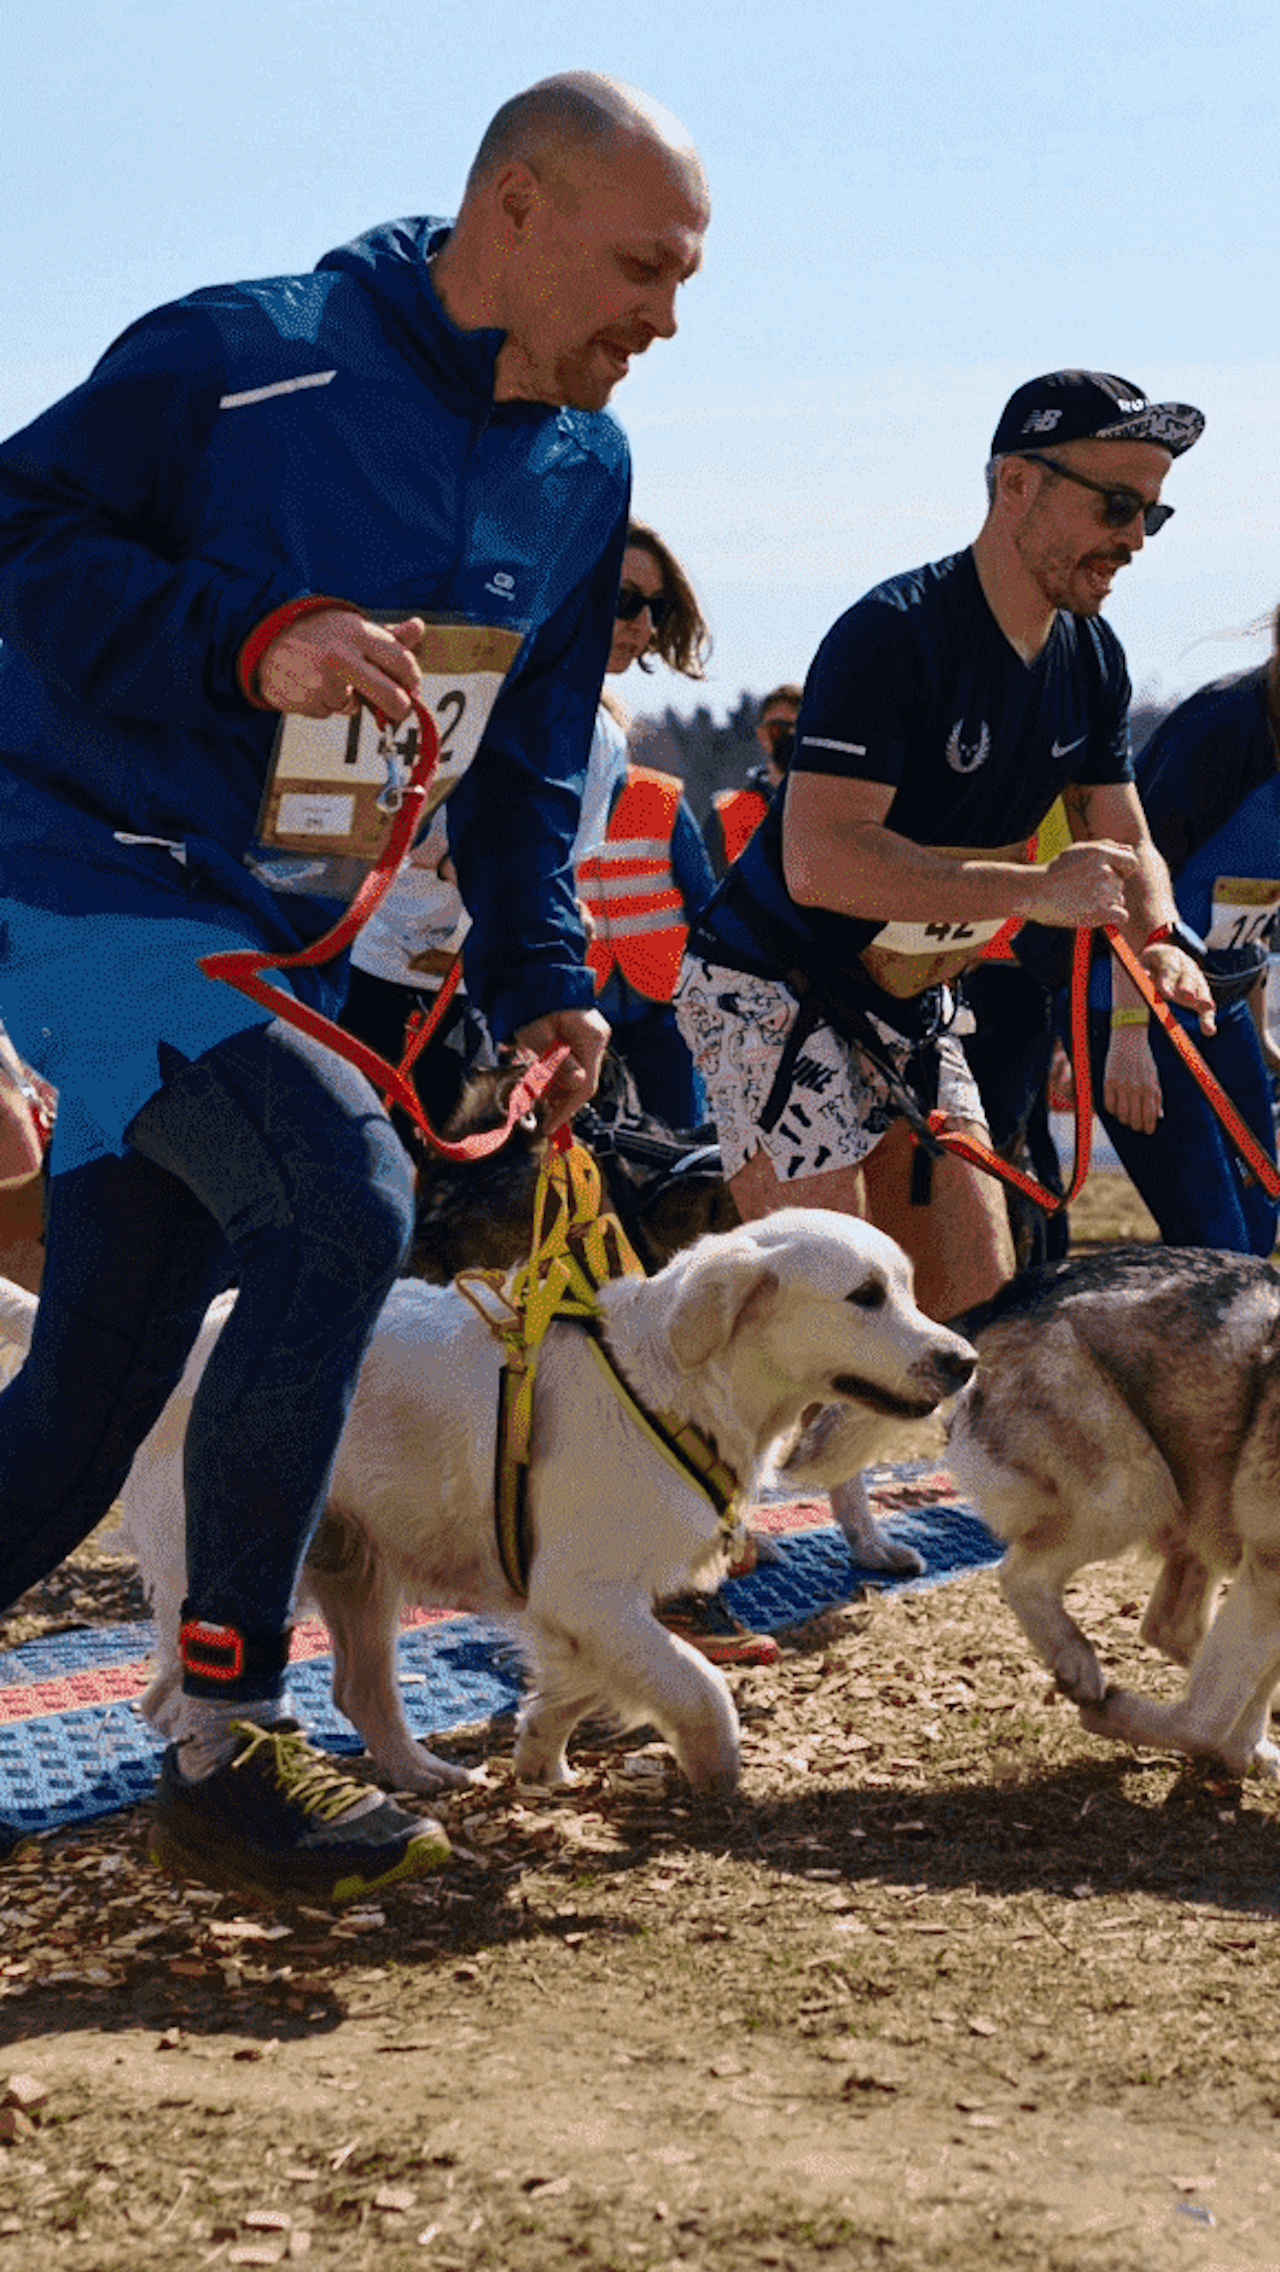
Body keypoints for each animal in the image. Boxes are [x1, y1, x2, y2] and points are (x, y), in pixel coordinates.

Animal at [0, 1217, 968, 1799]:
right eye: (864, 1297)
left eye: (911, 1287)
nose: (962, 1360)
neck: (675, 1384)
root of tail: (203, 1324)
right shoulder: (585, 1590)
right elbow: (696, 1683)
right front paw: (713, 1768)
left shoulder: (573, 1602)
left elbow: (580, 1683)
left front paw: (540, 1754)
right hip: (231, 1563)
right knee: (167, 1693)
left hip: (355, 1570)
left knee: (356, 1690)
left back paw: (421, 1773)